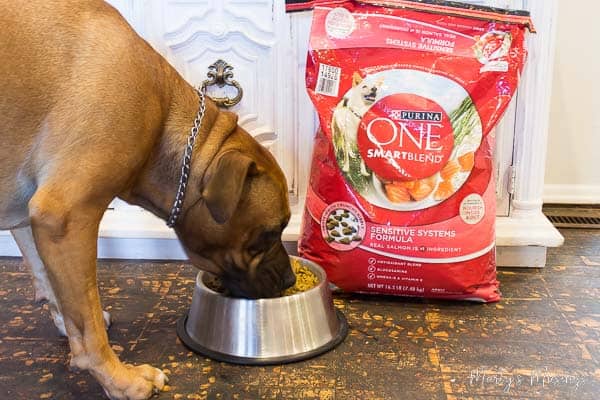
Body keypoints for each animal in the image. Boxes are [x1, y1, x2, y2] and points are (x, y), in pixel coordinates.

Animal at [0, 1, 296, 398]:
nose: (291, 281)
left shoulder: (29, 215)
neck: (162, 116)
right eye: (267, 234)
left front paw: (64, 320)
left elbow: (52, 284)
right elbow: (90, 330)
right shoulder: (64, 218)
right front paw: (119, 379)